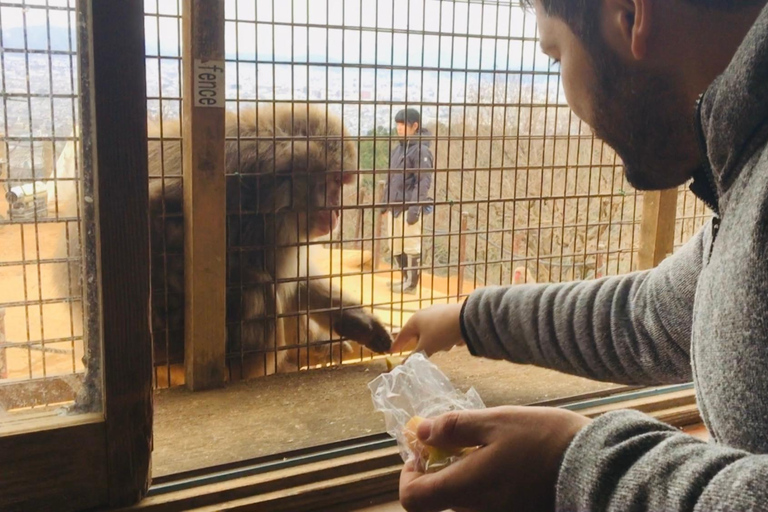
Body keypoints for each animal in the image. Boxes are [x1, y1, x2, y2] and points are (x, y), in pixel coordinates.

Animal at [55, 104, 390, 382]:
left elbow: (298, 282)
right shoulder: (261, 213)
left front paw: (355, 321)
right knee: (256, 285)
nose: (336, 211)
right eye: (332, 182)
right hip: (173, 345)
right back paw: (250, 368)